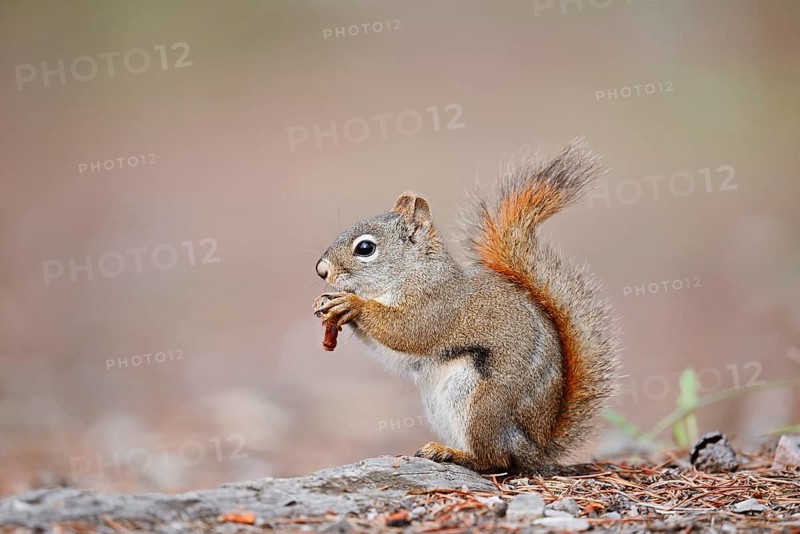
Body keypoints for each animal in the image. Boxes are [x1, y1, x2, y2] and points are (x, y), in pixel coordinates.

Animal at [312, 139, 620, 474]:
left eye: (365, 248)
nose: (321, 270)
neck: (411, 272)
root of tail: (536, 450)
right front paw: (326, 304)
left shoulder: (437, 305)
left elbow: (407, 331)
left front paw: (352, 303)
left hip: (482, 405)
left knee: (495, 459)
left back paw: (453, 454)